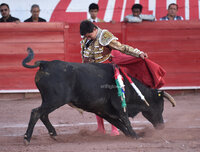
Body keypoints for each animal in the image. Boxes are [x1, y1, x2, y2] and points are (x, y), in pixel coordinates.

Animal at [21, 48, 175, 144]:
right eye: (160, 106)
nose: (162, 126)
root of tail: (45, 64)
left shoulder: (104, 111)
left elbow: (119, 124)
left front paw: (131, 135)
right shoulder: (120, 107)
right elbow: (126, 121)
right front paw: (136, 136)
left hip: (49, 100)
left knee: (43, 114)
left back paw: (53, 134)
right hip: (55, 100)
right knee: (36, 112)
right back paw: (27, 138)